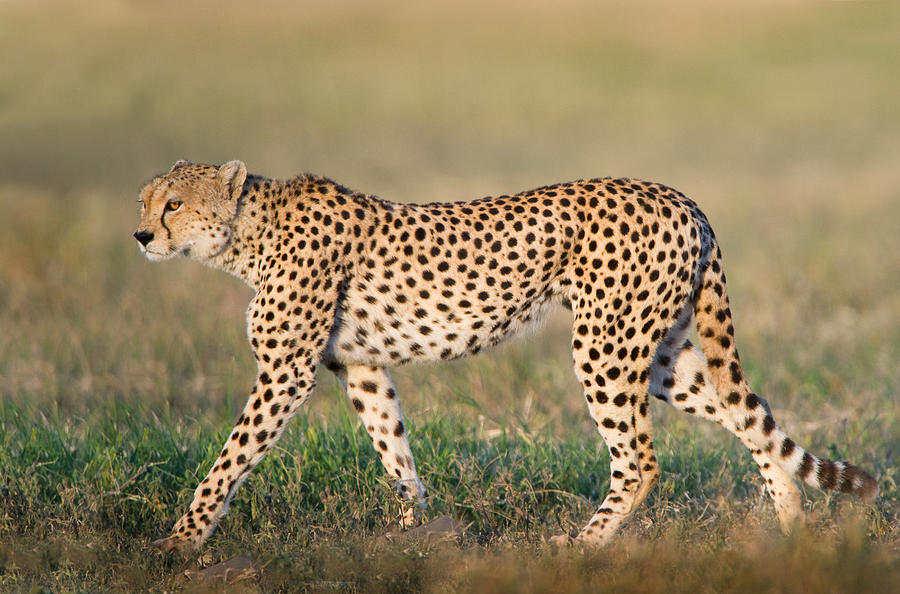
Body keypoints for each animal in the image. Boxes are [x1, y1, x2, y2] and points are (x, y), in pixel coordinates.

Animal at [137, 158, 876, 552]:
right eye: (145, 200)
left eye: (174, 203)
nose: (141, 235)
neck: (247, 233)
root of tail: (679, 195)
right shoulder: (362, 366)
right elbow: (394, 450)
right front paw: (414, 533)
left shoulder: (286, 373)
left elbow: (229, 461)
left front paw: (180, 543)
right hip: (661, 351)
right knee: (747, 412)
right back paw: (789, 526)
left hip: (605, 346)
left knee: (640, 459)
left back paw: (581, 546)